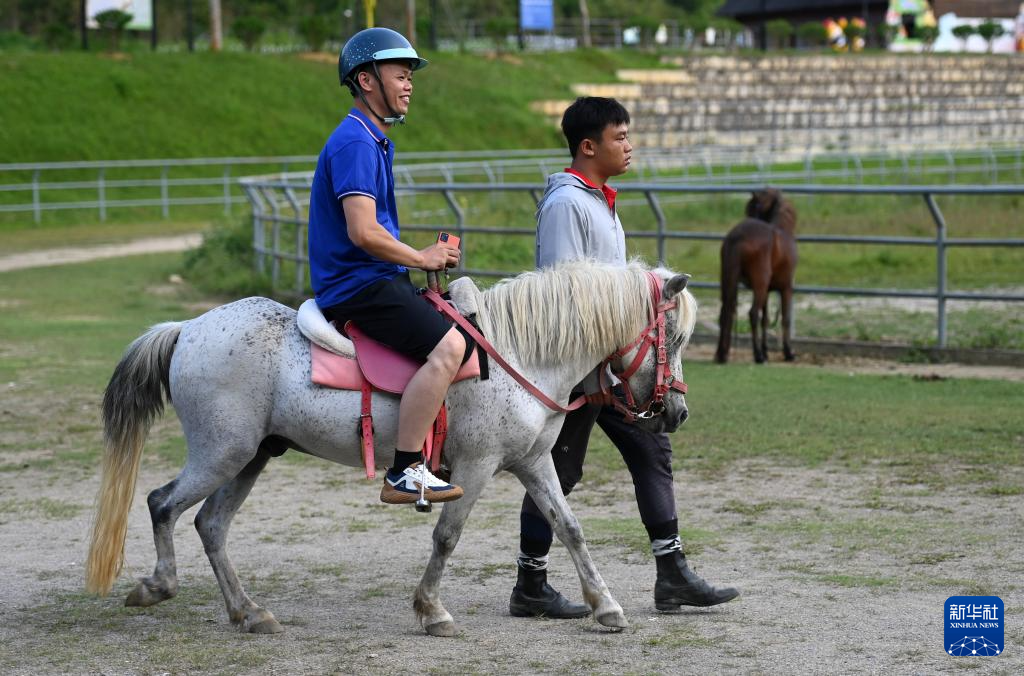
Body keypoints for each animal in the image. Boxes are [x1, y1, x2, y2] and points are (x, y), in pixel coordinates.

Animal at [86, 259, 696, 635]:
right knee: (162, 504)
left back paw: (249, 612)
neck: (517, 353)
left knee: (210, 525)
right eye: (676, 336)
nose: (677, 413)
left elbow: (569, 528)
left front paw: (606, 605)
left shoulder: (532, 462)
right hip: (222, 454)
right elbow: (447, 536)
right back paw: (158, 586)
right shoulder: (475, 467)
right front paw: (432, 611)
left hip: (249, 458)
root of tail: (188, 328)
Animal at [712, 187, 798, 364]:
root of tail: (737, 236)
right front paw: (788, 353)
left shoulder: (767, 291)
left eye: (754, 208)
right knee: (752, 313)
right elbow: (785, 318)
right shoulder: (786, 288)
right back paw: (758, 355)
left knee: (725, 312)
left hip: (728, 281)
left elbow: (765, 319)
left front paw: (766, 350)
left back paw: (722, 354)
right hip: (759, 285)